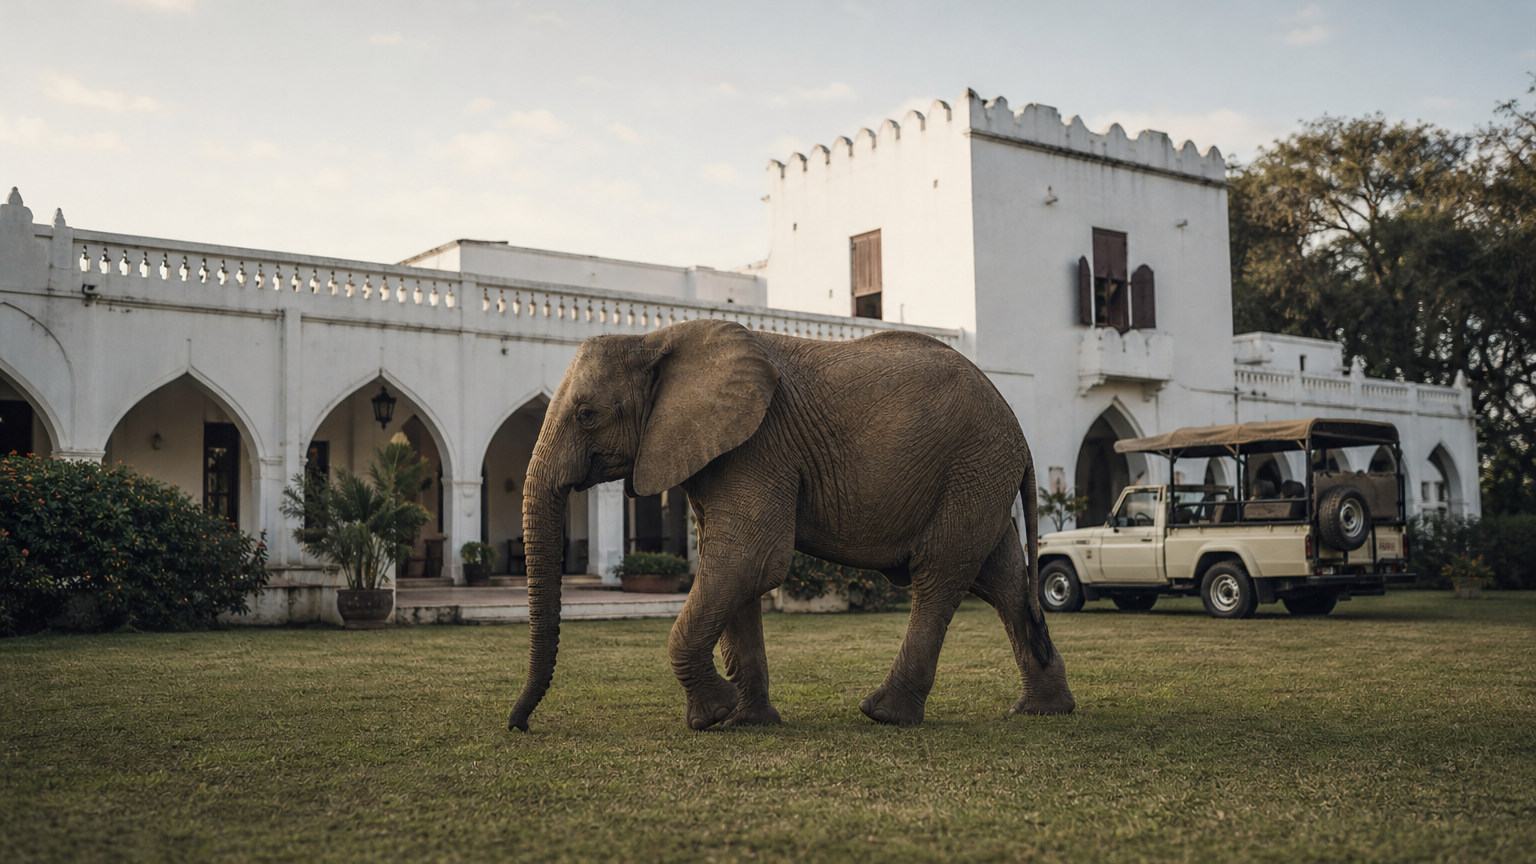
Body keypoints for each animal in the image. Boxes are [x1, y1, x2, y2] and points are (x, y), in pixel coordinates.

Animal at [507, 319, 1075, 731]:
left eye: (587, 414)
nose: (520, 726)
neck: (656, 339)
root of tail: (1018, 427)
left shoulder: (757, 446)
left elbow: (749, 559)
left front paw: (712, 716)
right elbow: (730, 568)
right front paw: (747, 721)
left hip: (971, 466)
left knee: (940, 575)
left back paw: (884, 715)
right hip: (980, 475)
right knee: (1002, 580)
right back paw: (1044, 711)